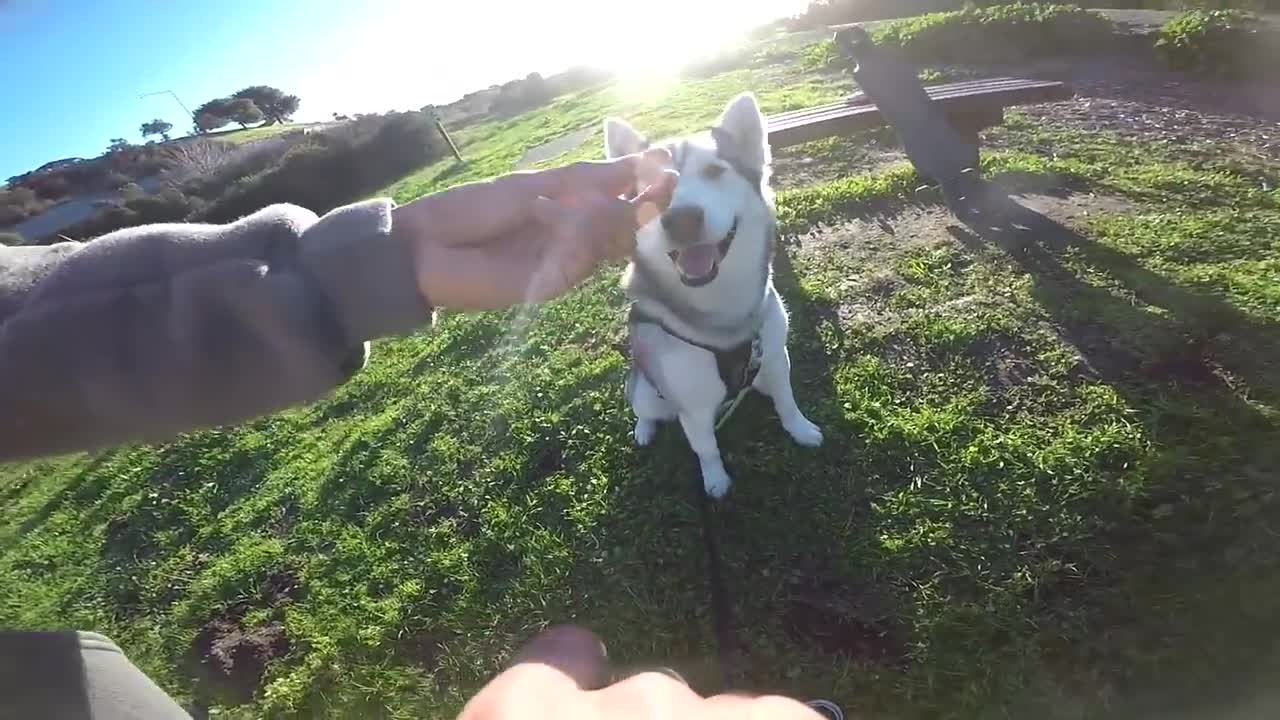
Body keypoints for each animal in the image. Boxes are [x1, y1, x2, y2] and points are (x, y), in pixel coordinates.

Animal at [604, 90, 824, 499]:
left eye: (714, 171)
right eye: (651, 184)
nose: (680, 218)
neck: (723, 314)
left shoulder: (775, 356)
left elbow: (787, 400)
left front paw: (800, 429)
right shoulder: (692, 404)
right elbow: (705, 447)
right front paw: (716, 481)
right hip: (644, 386)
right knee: (644, 408)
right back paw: (644, 429)